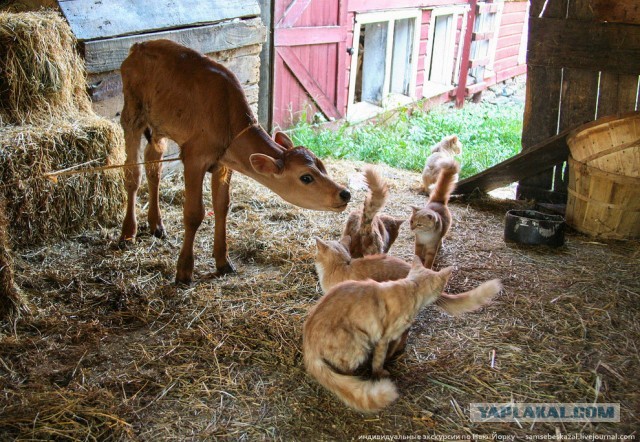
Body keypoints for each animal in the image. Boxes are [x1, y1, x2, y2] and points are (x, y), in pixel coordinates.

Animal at [119, 40, 350, 284]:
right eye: (306, 177)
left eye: (322, 165)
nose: (344, 193)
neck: (226, 118)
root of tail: (139, 45)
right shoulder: (194, 158)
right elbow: (194, 213)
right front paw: (184, 270)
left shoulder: (223, 163)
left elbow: (222, 206)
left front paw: (223, 262)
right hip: (132, 114)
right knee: (132, 173)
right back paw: (128, 232)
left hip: (160, 125)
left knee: (153, 164)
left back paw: (156, 224)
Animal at [304, 258, 450, 412]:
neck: (412, 286)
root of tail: (307, 343)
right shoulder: (384, 337)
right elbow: (379, 360)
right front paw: (380, 372)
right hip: (358, 344)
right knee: (345, 370)